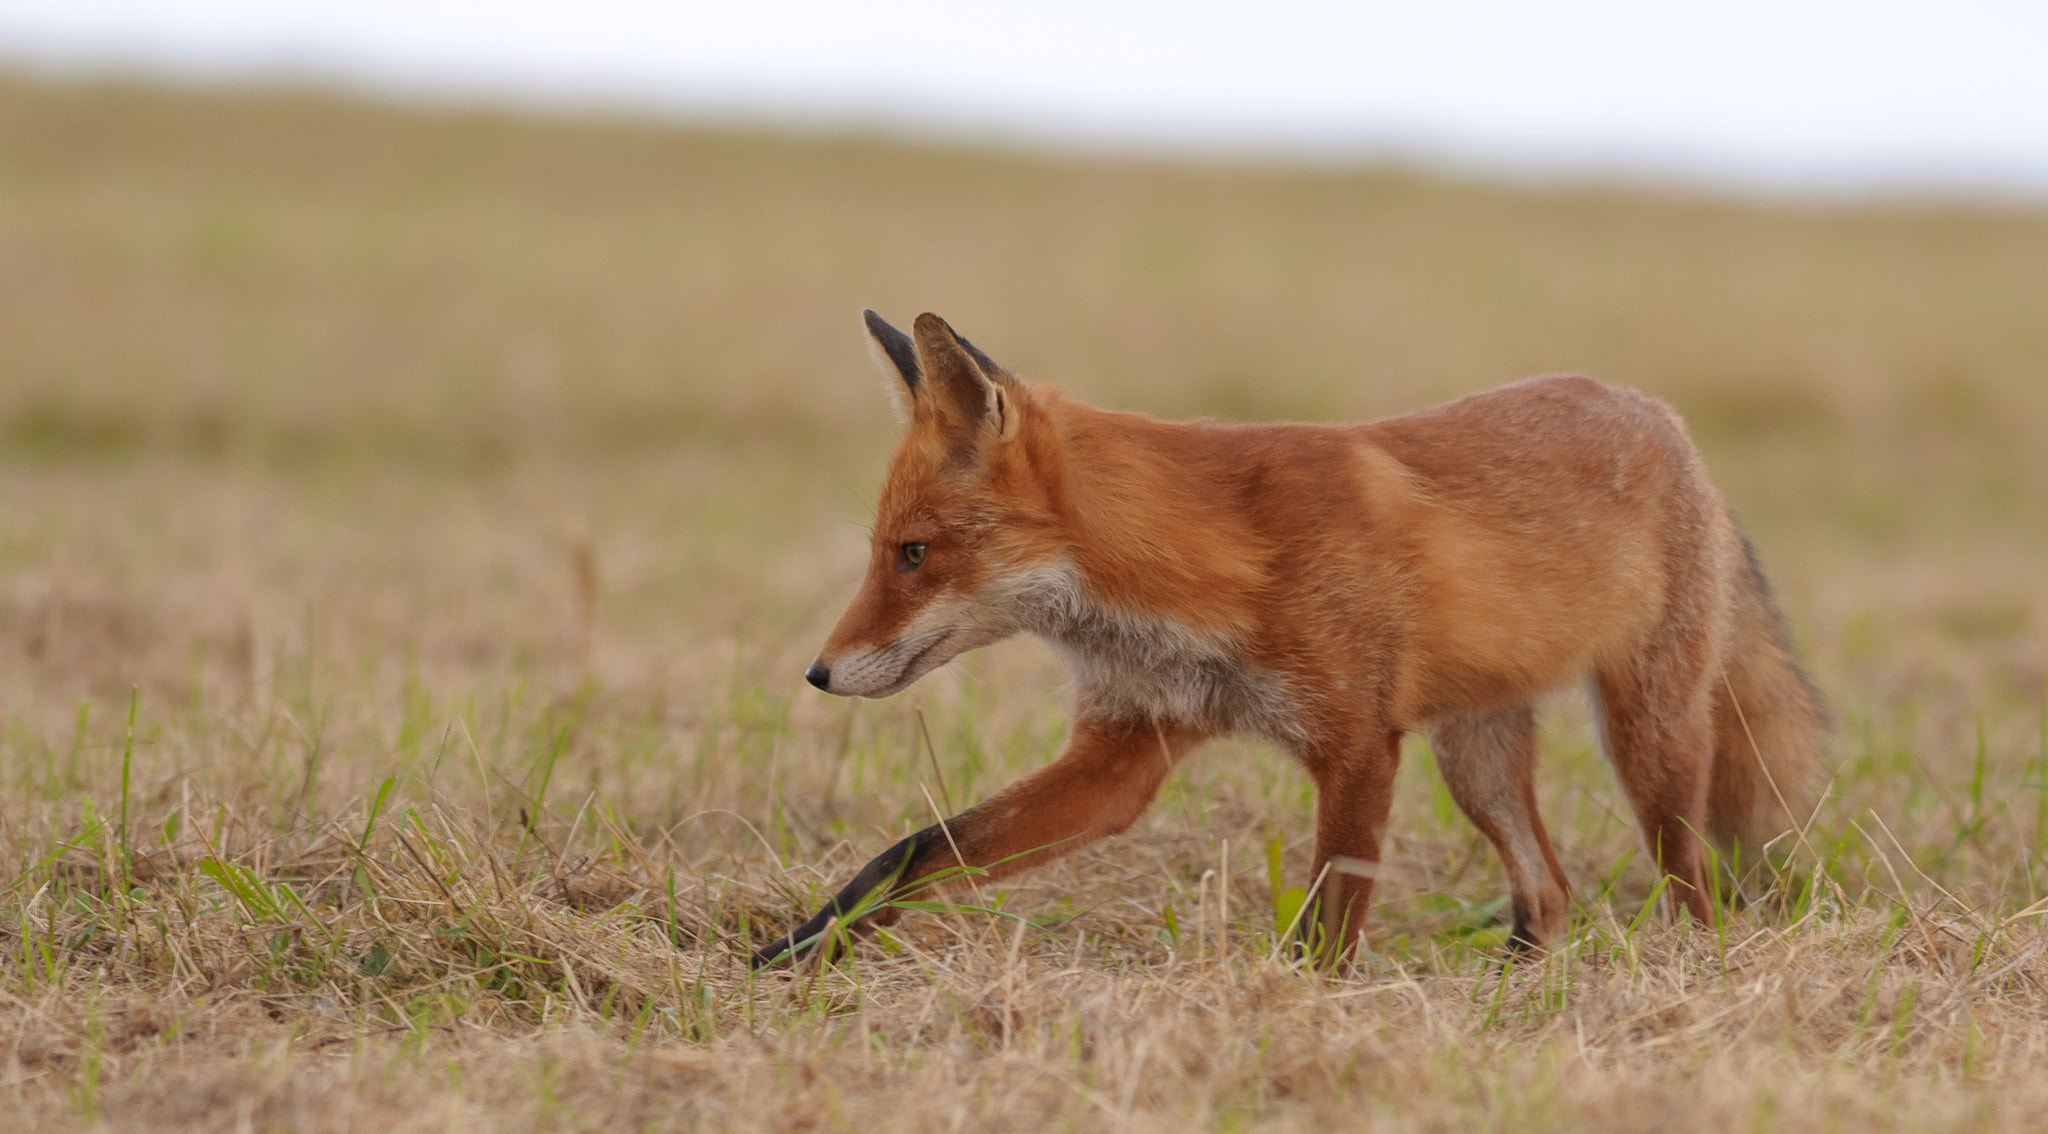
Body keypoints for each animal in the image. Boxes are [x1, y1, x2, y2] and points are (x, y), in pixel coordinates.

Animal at [751, 310, 1826, 968]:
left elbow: (1324, 929)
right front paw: (800, 953)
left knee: (1690, 883)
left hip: (1650, 740)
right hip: (1475, 760)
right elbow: (915, 852)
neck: (1198, 579)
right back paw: (1517, 992)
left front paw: (1294, 1016)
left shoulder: (1358, 747)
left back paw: (1688, 972)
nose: (817, 673)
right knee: (1550, 890)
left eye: (913, 553)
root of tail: (1669, 423)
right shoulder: (1125, 751)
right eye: (885, 551)